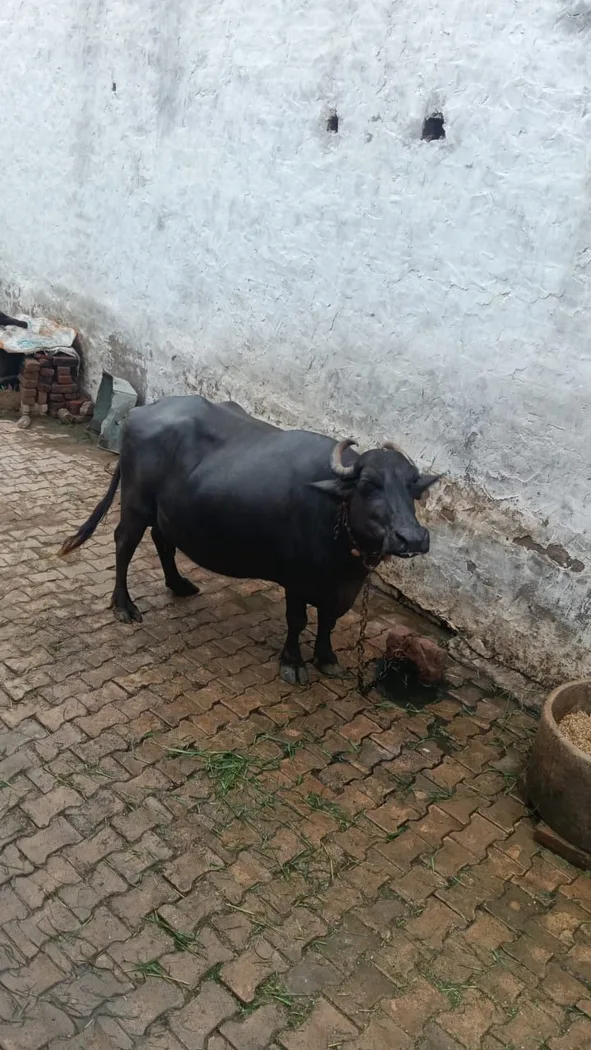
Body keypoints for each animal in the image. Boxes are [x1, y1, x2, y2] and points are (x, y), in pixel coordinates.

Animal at [60, 396, 438, 685]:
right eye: (368, 484)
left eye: (412, 487)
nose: (412, 538)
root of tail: (143, 411)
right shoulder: (296, 579)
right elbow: (298, 620)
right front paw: (293, 663)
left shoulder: (342, 587)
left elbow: (328, 621)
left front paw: (327, 658)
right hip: (136, 502)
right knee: (124, 542)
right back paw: (124, 605)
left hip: (167, 511)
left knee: (163, 541)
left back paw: (179, 584)